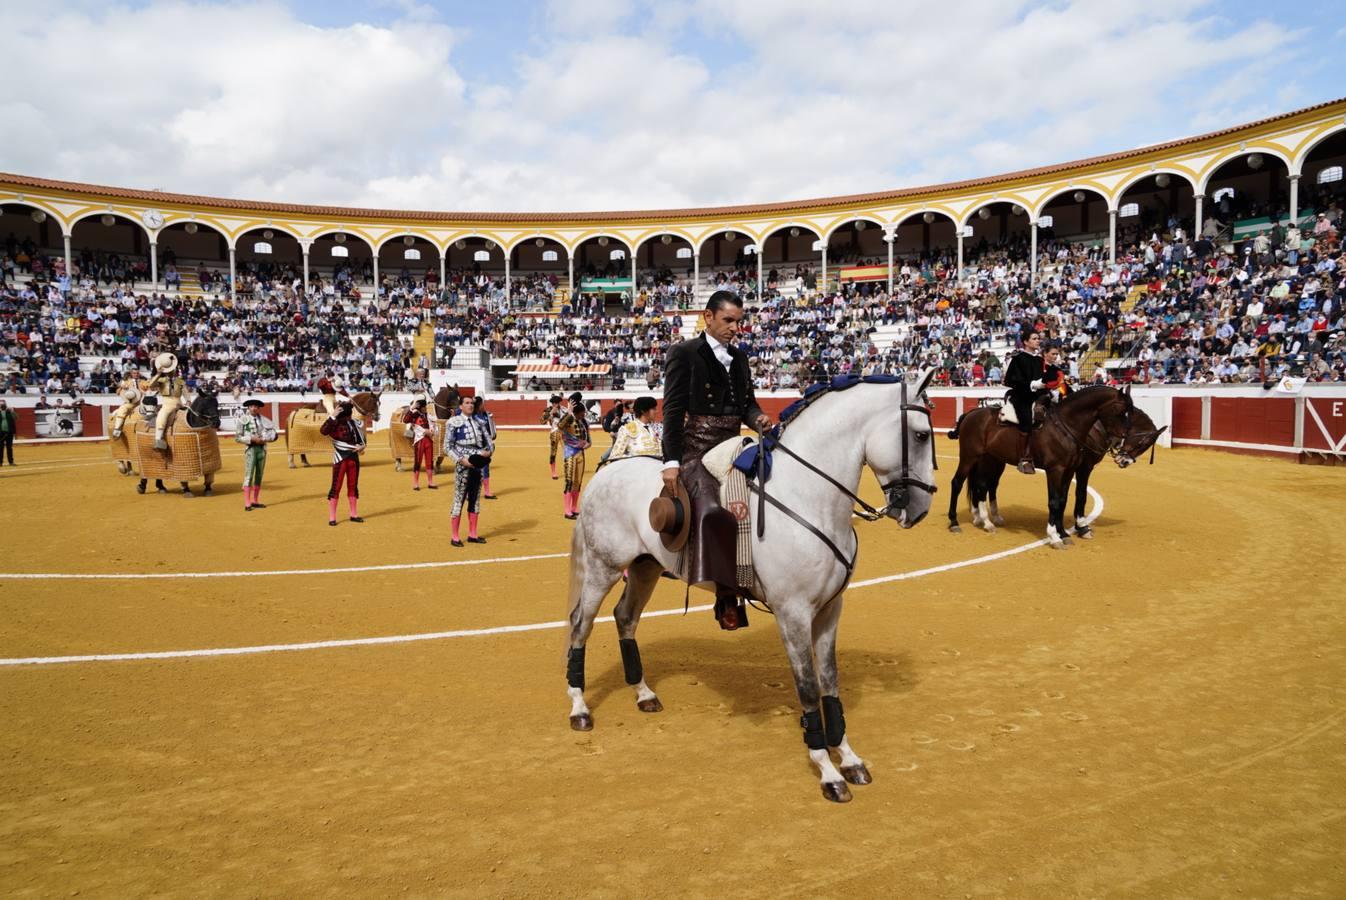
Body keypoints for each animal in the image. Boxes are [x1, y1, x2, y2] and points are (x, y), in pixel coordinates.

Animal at [565, 368, 936, 801]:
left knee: (625, 617)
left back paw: (644, 694)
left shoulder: (830, 609)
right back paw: (579, 708)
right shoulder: (793, 613)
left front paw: (849, 757)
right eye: (921, 435)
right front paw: (827, 771)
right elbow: (808, 687)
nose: (920, 508)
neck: (809, 497)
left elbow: (830, 681)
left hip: (645, 568)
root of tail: (607, 472)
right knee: (581, 624)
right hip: (603, 567)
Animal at [947, 382, 1136, 543]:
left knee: (982, 486)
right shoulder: (1057, 470)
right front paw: (1054, 536)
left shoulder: (1069, 470)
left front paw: (1063, 533)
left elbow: (1063, 500)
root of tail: (971, 414)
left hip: (990, 460)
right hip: (969, 457)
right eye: (1120, 410)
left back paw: (987, 522)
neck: (1066, 426)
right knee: (958, 483)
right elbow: (1055, 501)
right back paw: (955, 522)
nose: (1122, 440)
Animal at [969, 406, 1168, 540]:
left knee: (988, 486)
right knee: (981, 485)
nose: (1123, 461)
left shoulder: (1071, 469)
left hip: (996, 461)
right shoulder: (1083, 467)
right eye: (1144, 442)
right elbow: (1080, 495)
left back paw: (984, 517)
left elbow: (1064, 497)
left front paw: (1067, 529)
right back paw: (983, 519)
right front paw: (1082, 527)